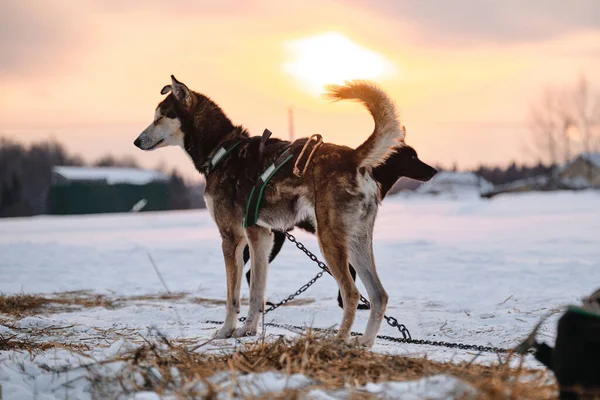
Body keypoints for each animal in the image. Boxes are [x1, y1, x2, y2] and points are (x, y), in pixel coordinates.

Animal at [135, 75, 406, 346]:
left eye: (160, 116)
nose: (136, 141)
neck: (221, 149)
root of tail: (352, 158)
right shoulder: (261, 237)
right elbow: (257, 291)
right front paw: (248, 330)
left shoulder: (231, 238)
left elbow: (233, 297)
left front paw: (226, 331)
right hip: (357, 242)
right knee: (379, 295)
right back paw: (365, 342)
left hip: (329, 240)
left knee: (352, 293)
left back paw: (338, 340)